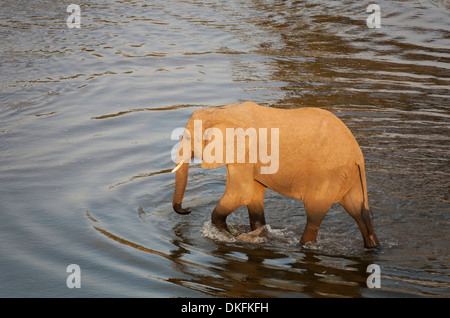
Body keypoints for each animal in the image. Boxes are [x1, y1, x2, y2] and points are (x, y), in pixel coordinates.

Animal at [172, 102, 380, 248]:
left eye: (188, 137)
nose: (187, 210)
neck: (220, 111)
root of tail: (357, 154)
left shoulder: (244, 154)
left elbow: (241, 193)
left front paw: (230, 235)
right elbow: (253, 196)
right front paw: (255, 235)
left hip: (327, 173)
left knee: (314, 214)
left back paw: (302, 245)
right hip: (350, 176)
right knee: (359, 211)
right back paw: (373, 247)